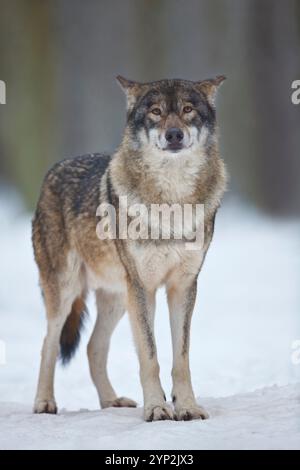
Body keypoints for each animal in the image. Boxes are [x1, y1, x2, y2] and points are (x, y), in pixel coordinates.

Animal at [31, 76, 226, 422]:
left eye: (188, 110)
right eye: (156, 111)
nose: (173, 134)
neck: (171, 203)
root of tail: (53, 170)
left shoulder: (183, 286)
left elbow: (181, 359)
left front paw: (187, 407)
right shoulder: (143, 287)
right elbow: (150, 355)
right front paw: (157, 408)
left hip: (119, 299)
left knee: (93, 346)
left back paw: (110, 401)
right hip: (68, 291)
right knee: (48, 344)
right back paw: (44, 403)